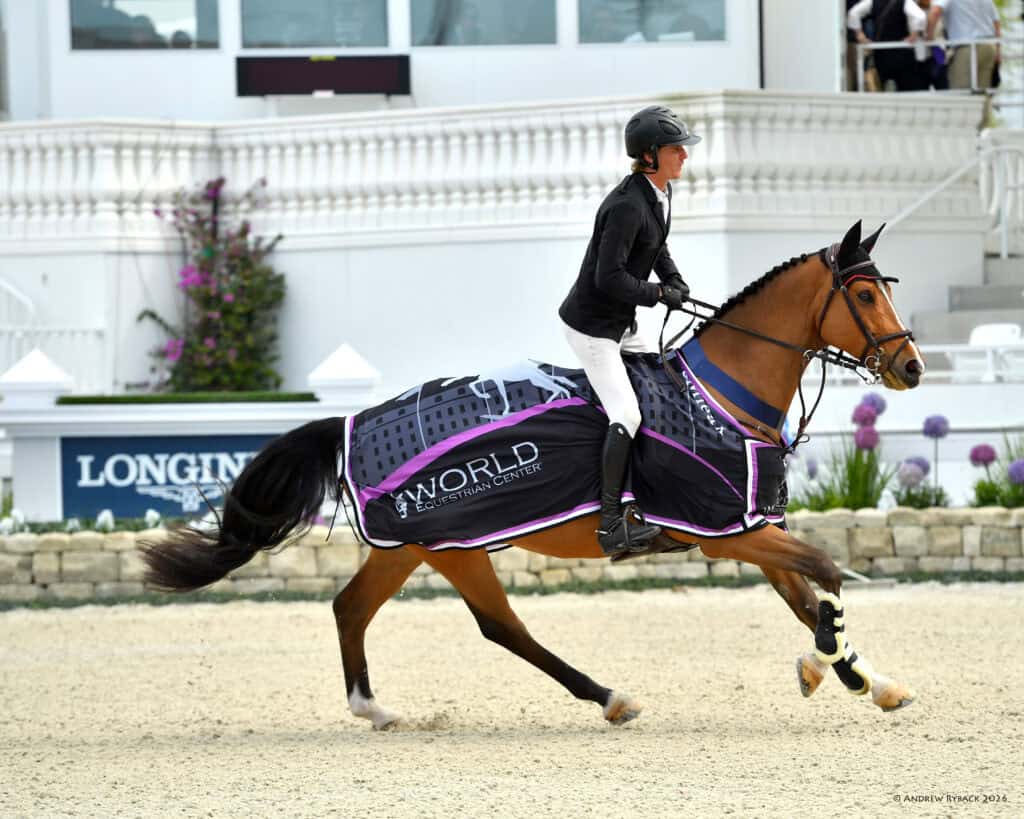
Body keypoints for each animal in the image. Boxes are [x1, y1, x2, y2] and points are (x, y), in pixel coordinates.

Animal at [141, 220, 925, 730]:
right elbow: (824, 574)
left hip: (411, 547)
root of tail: (352, 422)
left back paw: (376, 709)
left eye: (886, 288)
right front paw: (825, 667)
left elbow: (806, 593)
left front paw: (871, 681)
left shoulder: (749, 526)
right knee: (502, 627)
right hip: (453, 545)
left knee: (351, 607)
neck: (722, 395)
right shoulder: (724, 531)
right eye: (863, 297)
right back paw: (610, 698)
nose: (911, 368)